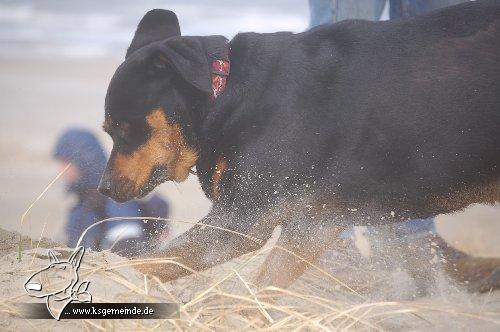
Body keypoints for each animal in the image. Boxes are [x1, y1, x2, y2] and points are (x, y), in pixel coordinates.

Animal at [98, 1, 500, 288]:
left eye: (125, 128)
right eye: (107, 129)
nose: (102, 188)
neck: (227, 95)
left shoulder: (244, 218)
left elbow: (158, 261)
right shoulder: (316, 221)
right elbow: (266, 282)